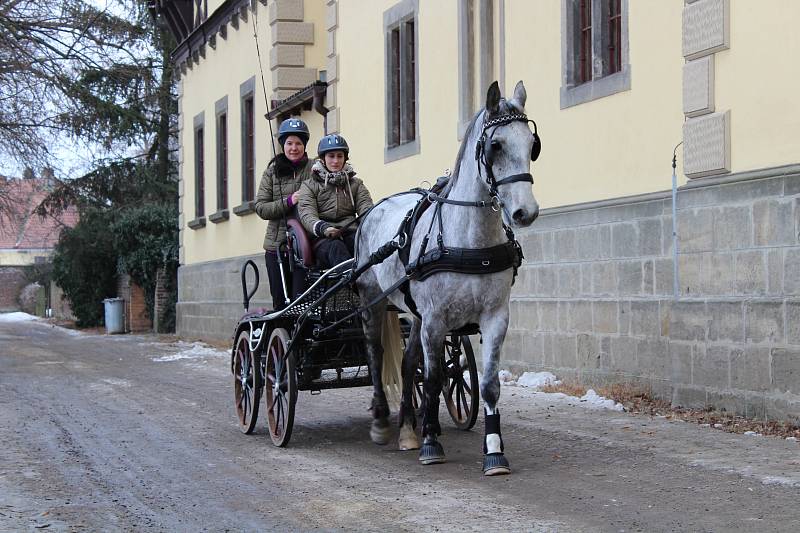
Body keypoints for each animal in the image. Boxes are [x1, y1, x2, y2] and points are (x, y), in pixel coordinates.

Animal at [354, 80, 536, 474]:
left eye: (532, 144)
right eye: (495, 145)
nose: (525, 212)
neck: (467, 239)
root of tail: (374, 209)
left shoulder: (495, 318)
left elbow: (488, 384)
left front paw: (494, 450)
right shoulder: (436, 319)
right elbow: (436, 378)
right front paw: (430, 442)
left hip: (415, 315)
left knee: (408, 364)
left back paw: (408, 428)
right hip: (372, 300)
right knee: (376, 354)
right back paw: (383, 421)